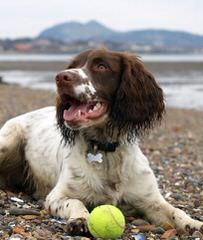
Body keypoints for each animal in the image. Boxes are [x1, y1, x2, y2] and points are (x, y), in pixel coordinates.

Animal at [0, 48, 202, 234]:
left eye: (101, 66)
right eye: (73, 66)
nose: (60, 77)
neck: (105, 148)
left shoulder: (151, 200)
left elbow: (175, 211)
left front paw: (193, 223)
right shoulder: (57, 196)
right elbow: (75, 202)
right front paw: (80, 219)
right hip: (8, 140)